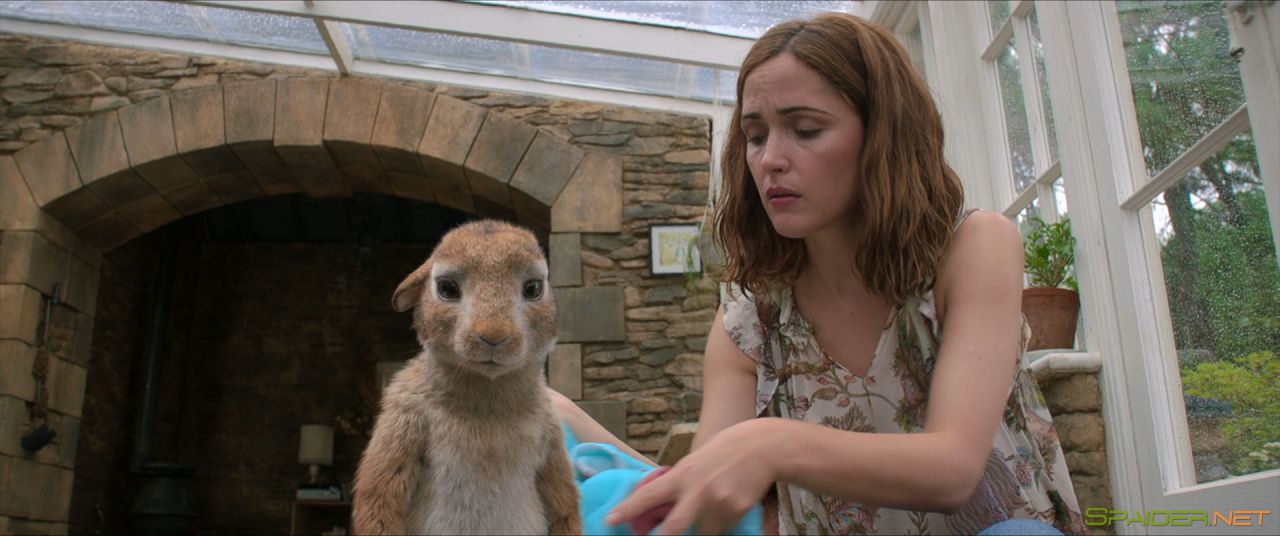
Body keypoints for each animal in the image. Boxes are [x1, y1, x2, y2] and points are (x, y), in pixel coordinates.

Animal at [351, 219, 580, 535]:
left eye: (534, 288)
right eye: (447, 288)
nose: (494, 335)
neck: (486, 394)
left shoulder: (552, 442)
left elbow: (565, 502)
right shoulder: (400, 425)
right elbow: (379, 498)